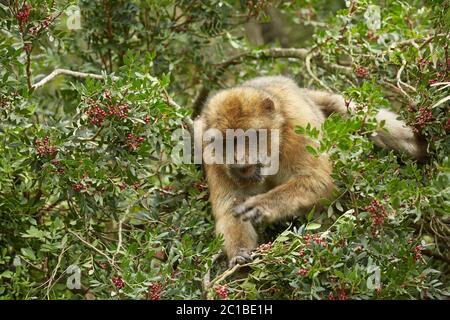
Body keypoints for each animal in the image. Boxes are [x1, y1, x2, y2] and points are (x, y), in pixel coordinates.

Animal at [193, 76, 426, 266]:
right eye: (225, 143)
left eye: (249, 137)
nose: (240, 160)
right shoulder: (208, 150)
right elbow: (229, 207)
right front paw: (239, 256)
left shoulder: (298, 128)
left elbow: (321, 180)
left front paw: (262, 206)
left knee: (346, 110)